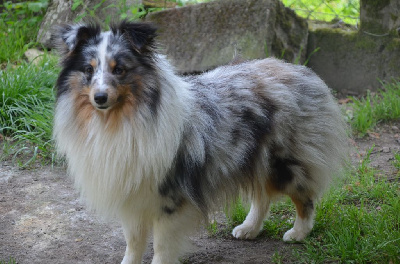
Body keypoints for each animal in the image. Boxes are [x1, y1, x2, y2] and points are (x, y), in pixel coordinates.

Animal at [52, 21, 346, 264]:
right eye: (88, 69)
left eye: (120, 70)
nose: (100, 98)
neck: (121, 119)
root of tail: (301, 70)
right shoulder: (133, 195)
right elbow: (133, 244)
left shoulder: (170, 199)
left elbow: (161, 248)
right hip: (254, 158)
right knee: (262, 196)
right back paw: (249, 228)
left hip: (283, 162)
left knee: (304, 197)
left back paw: (298, 233)